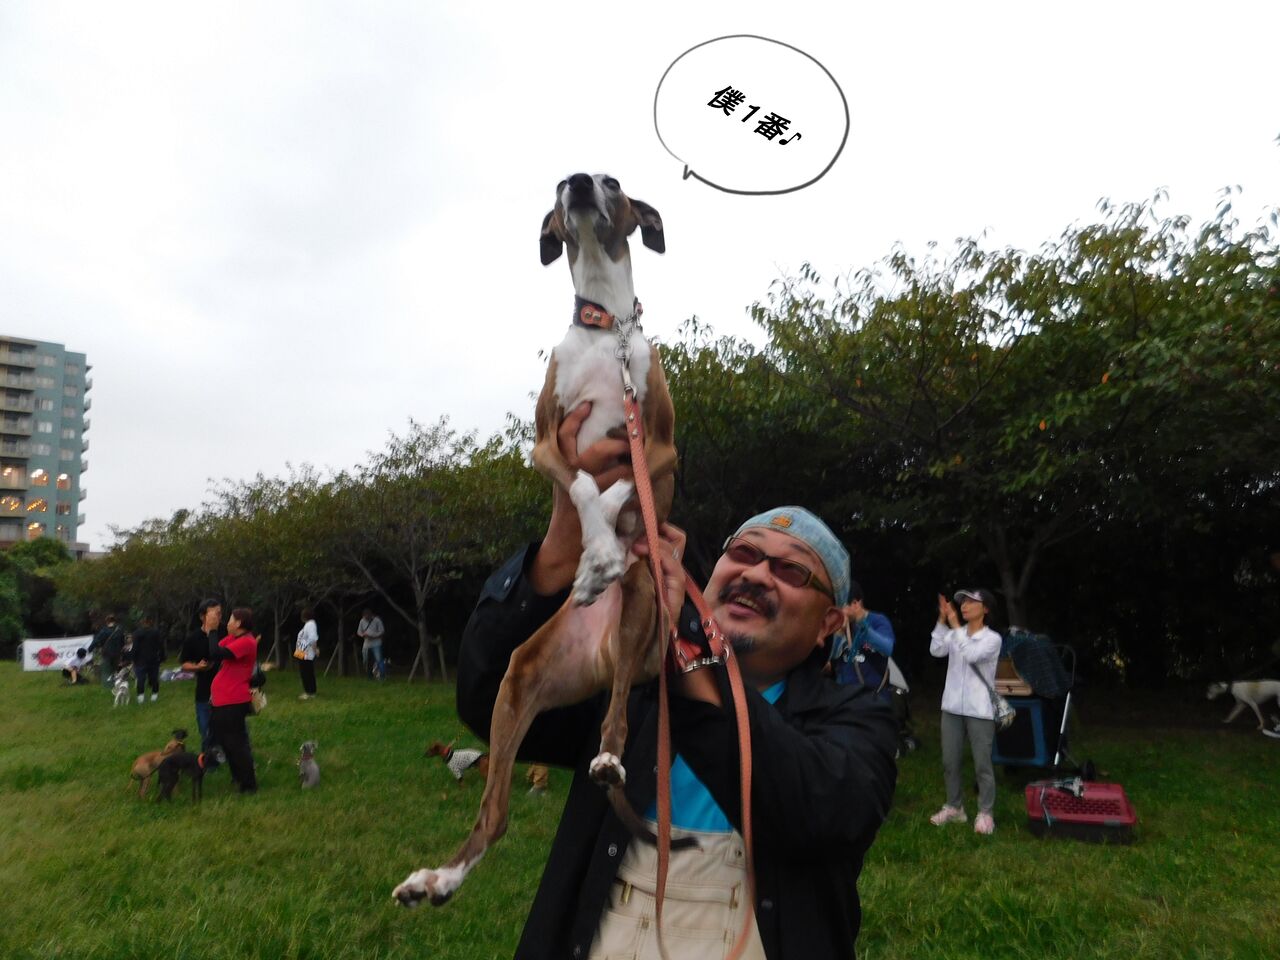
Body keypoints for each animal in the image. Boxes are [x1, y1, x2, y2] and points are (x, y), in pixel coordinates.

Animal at [393, 173, 674, 909]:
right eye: (559, 185)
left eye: (612, 181)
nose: (576, 185)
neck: (608, 335)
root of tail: (599, 648)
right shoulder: (548, 441)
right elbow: (581, 488)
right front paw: (595, 553)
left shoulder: (659, 450)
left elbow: (616, 489)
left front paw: (602, 555)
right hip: (517, 681)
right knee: (494, 814)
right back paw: (436, 880)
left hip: (642, 608)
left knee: (618, 715)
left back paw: (607, 756)